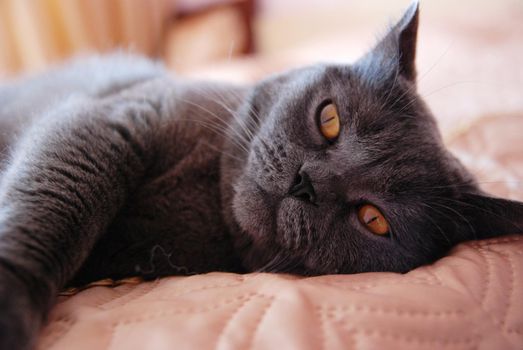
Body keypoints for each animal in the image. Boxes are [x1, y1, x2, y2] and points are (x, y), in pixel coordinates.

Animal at [1, 2, 523, 350]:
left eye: (373, 219)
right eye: (329, 119)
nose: (307, 183)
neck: (204, 199)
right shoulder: (113, 118)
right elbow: (57, 204)